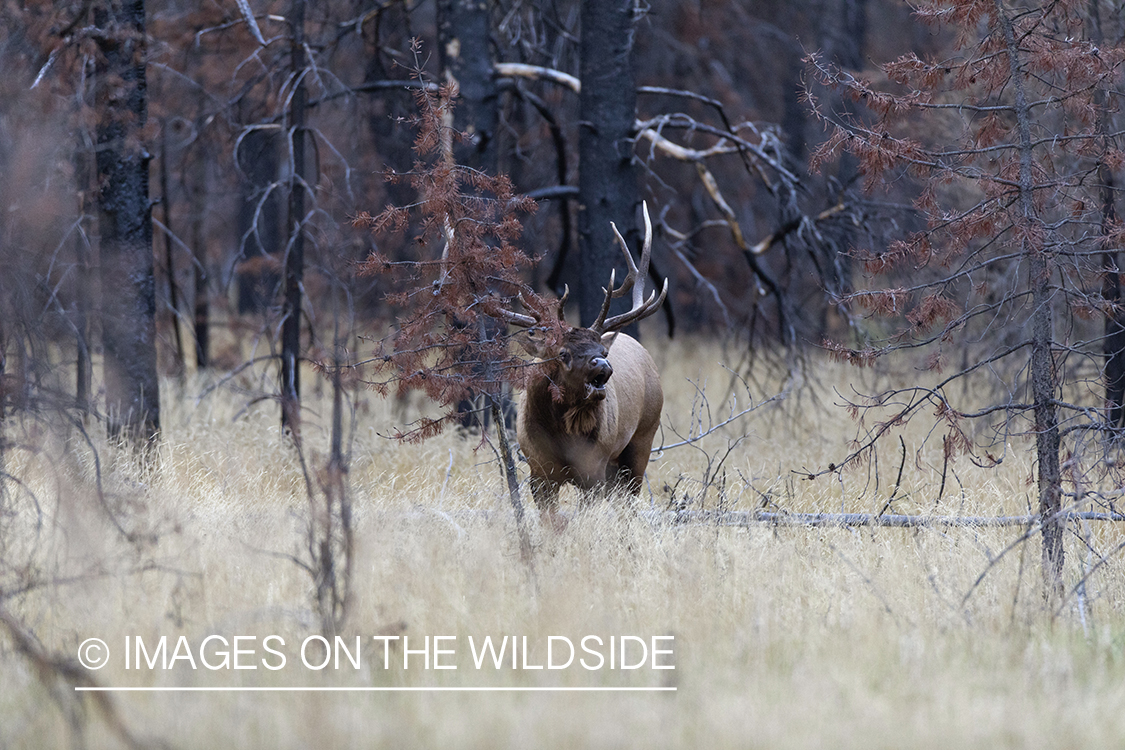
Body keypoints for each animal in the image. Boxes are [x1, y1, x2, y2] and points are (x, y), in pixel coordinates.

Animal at [495, 202, 661, 519]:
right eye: (563, 353)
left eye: (602, 352)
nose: (602, 365)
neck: (564, 440)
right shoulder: (538, 470)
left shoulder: (594, 468)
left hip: (642, 438)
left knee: (629, 498)